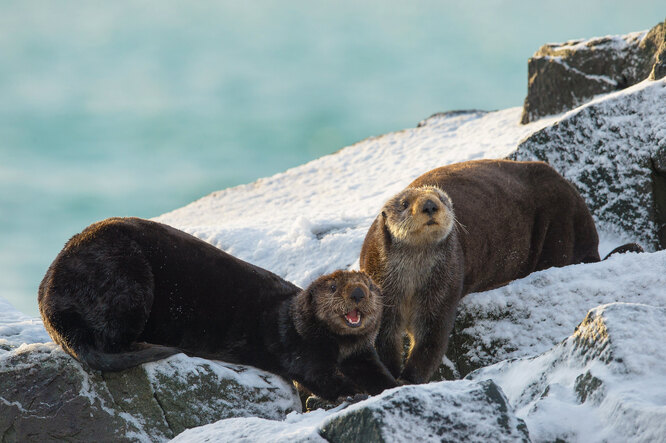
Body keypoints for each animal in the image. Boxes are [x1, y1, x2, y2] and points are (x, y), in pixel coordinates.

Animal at [37, 219, 394, 402]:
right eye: (333, 287)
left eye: (369, 285)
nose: (358, 293)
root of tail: (51, 302)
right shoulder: (299, 347)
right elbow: (315, 375)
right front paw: (352, 393)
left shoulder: (361, 354)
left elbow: (377, 372)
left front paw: (393, 385)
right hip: (123, 277)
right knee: (110, 341)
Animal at [358, 160, 608, 386]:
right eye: (404, 203)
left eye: (442, 199)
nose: (429, 205)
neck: (412, 282)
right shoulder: (381, 288)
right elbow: (384, 337)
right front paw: (390, 375)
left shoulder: (444, 287)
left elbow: (432, 337)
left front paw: (408, 378)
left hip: (560, 229)